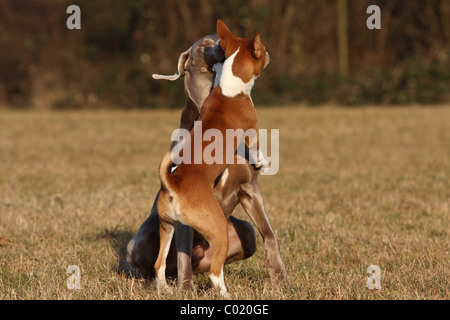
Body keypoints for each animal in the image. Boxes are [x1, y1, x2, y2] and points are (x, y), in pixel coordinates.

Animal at [125, 21, 288, 294]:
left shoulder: (250, 190)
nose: (269, 55)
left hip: (170, 227)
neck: (229, 89)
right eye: (263, 50)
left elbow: (270, 234)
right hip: (209, 231)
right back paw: (222, 292)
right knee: (211, 272)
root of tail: (173, 185)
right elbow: (256, 147)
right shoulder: (252, 129)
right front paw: (263, 162)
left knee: (161, 264)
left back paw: (166, 288)